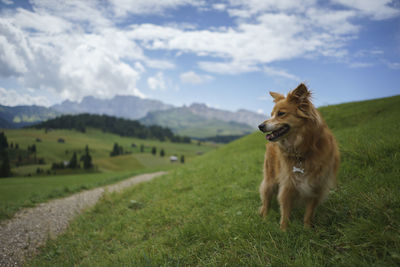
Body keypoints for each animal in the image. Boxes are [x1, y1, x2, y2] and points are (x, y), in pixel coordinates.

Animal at [258, 84, 340, 230]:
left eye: (281, 113)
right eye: (271, 114)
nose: (260, 126)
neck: (303, 151)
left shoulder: (316, 185)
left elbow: (309, 212)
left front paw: (307, 229)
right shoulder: (288, 183)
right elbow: (285, 212)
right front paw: (283, 230)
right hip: (270, 178)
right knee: (266, 199)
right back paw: (265, 219)